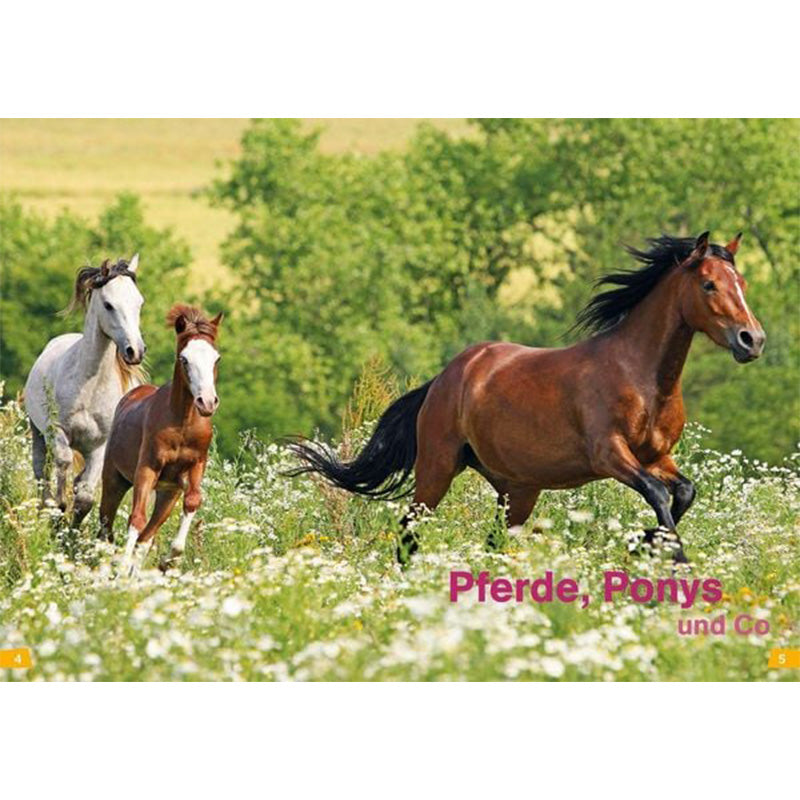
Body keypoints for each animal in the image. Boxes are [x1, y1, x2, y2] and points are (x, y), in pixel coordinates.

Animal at [24, 256, 146, 528]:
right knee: (41, 472)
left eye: (139, 302)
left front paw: (70, 534)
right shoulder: (57, 430)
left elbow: (86, 498)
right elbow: (63, 462)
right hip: (37, 432)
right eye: (109, 305)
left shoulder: (100, 445)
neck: (90, 387)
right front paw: (58, 512)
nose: (135, 351)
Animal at [99, 304, 223, 576]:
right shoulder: (147, 469)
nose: (207, 402)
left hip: (167, 493)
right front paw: (121, 570)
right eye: (184, 359)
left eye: (216, 358)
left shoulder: (195, 466)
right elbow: (136, 519)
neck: (183, 424)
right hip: (114, 480)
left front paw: (169, 560)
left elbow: (192, 501)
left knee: (147, 535)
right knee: (106, 526)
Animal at [289, 232, 766, 564]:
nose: (752, 340)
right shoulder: (610, 455)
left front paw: (644, 542)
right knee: (409, 531)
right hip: (437, 469)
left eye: (741, 282)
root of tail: (446, 377)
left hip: (516, 489)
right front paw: (671, 555)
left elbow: (684, 491)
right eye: (709, 284)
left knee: (492, 542)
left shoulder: (657, 456)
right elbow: (658, 495)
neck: (642, 377)